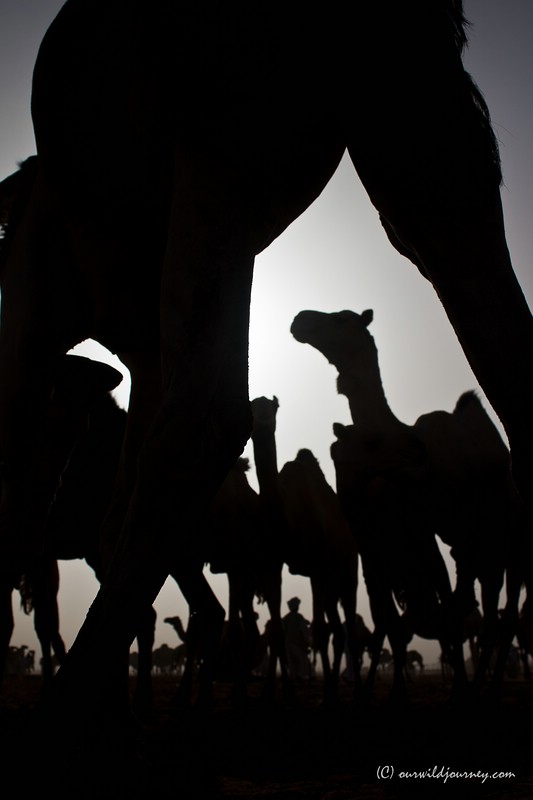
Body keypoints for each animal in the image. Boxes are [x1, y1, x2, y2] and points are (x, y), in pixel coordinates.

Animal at [0, 1, 528, 736]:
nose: (304, 319)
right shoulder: (136, 345)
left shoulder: (35, 290)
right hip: (409, 123)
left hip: (224, 140)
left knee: (204, 426)